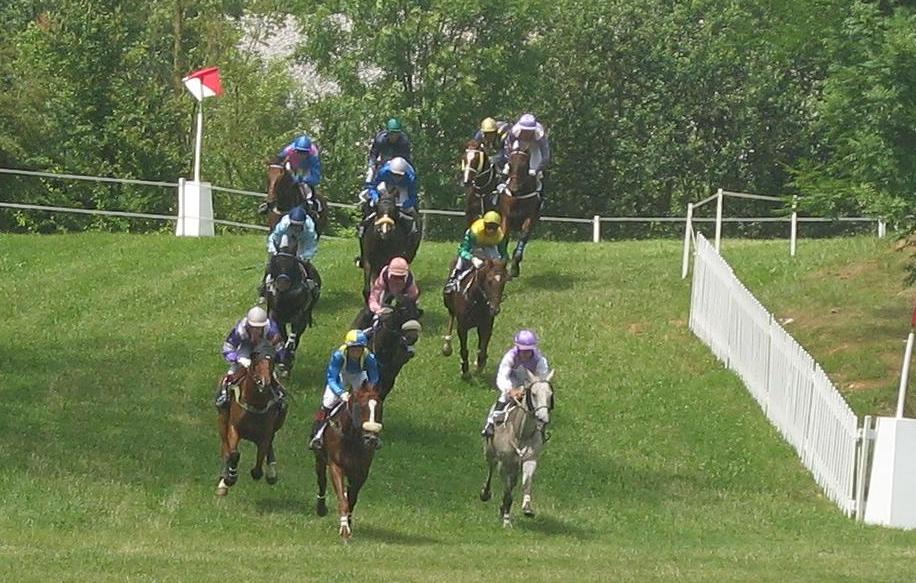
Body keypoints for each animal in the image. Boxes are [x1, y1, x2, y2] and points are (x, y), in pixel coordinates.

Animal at [215, 352, 286, 498]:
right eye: (256, 363)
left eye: (271, 363)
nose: (264, 383)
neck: (255, 404)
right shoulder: (233, 429)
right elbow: (234, 453)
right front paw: (230, 478)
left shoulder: (265, 435)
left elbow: (259, 464)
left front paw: (266, 473)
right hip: (222, 420)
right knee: (225, 448)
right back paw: (223, 482)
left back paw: (271, 473)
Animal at [314, 384, 382, 544]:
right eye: (360, 407)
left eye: (379, 407)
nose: (371, 439)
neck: (351, 437)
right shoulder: (336, 467)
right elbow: (343, 500)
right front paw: (345, 531)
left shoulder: (361, 471)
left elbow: (351, 499)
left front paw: (348, 525)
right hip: (319, 459)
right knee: (321, 481)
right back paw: (321, 508)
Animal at [480, 370, 560, 528]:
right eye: (534, 394)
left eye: (550, 394)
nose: (543, 419)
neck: (521, 433)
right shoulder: (504, 464)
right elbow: (507, 491)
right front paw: (506, 521)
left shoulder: (530, 459)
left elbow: (526, 483)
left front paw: (527, 508)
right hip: (490, 452)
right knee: (491, 469)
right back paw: (485, 493)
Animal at [498, 149, 540, 280]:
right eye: (510, 164)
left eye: (525, 165)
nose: (514, 188)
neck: (518, 196)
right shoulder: (506, 217)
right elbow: (504, 237)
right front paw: (503, 262)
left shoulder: (530, 218)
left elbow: (523, 237)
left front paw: (514, 268)